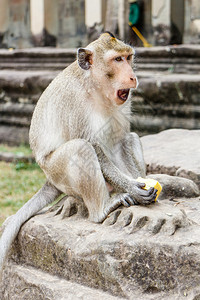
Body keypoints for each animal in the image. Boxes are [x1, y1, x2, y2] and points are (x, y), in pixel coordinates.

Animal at [0, 32, 157, 274]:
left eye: (128, 57)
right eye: (117, 60)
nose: (132, 77)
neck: (95, 87)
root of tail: (49, 179)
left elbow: (120, 141)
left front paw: (138, 183)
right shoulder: (74, 103)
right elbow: (92, 146)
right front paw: (132, 187)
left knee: (131, 137)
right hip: (57, 172)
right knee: (80, 147)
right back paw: (102, 209)